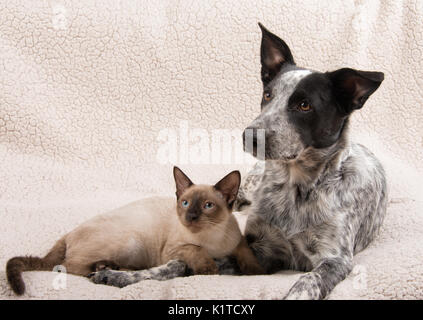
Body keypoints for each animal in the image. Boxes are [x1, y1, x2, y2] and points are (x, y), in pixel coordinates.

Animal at [6, 168, 264, 296]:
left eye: (208, 206)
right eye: (185, 203)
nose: (190, 217)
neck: (214, 240)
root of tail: (68, 233)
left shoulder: (238, 242)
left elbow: (246, 254)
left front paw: (255, 270)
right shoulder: (174, 251)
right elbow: (195, 251)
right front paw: (208, 268)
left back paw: (107, 268)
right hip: (130, 242)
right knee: (67, 267)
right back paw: (103, 270)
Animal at [91, 23, 390, 300]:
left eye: (304, 105)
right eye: (268, 95)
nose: (250, 136)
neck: (295, 188)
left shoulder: (334, 260)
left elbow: (307, 281)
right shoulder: (258, 251)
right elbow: (178, 263)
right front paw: (124, 275)